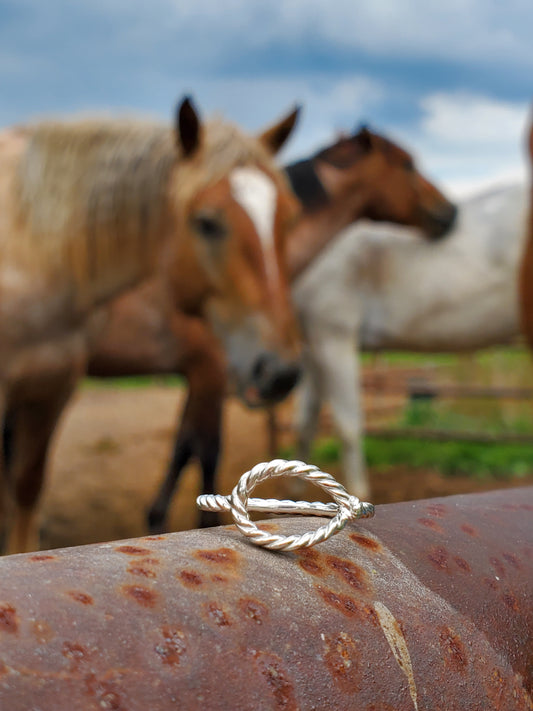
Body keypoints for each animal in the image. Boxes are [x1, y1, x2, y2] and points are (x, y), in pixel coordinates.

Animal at [0, 97, 300, 552]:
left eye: (289, 219)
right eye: (207, 222)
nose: (279, 371)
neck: (31, 253)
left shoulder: (52, 389)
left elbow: (26, 489)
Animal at [86, 124, 454, 536]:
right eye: (407, 164)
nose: (449, 212)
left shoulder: (201, 375)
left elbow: (184, 446)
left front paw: (157, 517)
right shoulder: (209, 370)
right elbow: (205, 448)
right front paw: (196, 522)